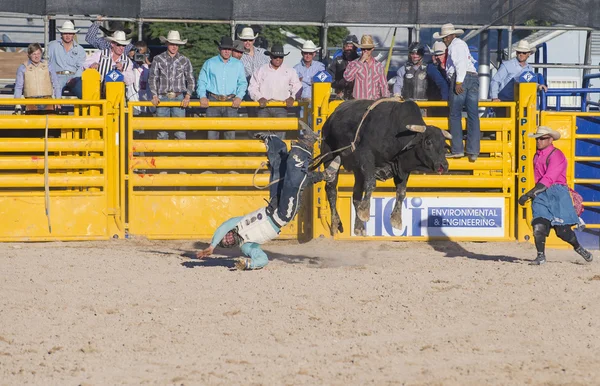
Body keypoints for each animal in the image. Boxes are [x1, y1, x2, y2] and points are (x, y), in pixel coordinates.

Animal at [318, 98, 450, 237]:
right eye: (428, 142)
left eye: (444, 144)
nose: (444, 165)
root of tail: (331, 118)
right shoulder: (366, 157)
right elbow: (371, 184)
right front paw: (364, 212)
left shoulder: (402, 169)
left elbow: (401, 192)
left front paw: (396, 219)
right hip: (330, 156)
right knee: (331, 190)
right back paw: (335, 224)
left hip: (357, 171)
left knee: (356, 195)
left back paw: (359, 227)